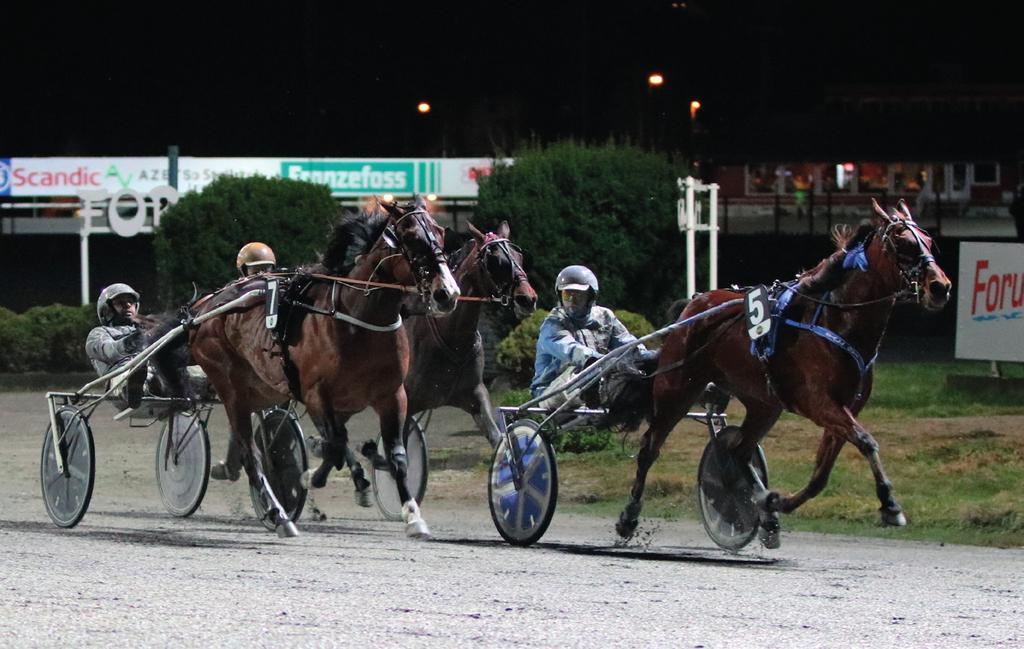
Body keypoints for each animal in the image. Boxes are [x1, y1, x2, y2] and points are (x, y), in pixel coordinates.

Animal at [187, 195, 456, 536]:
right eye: (410, 237)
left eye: (440, 232)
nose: (447, 293)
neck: (357, 319)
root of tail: (204, 309)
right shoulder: (315, 394)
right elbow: (335, 445)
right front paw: (309, 476)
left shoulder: (392, 395)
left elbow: (396, 456)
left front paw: (412, 515)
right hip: (230, 387)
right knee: (252, 453)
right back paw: (279, 514)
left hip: (264, 388)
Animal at [614, 198, 950, 544]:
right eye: (902, 242)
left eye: (928, 240)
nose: (940, 286)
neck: (837, 320)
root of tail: (695, 304)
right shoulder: (818, 403)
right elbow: (867, 441)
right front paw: (890, 504)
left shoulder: (846, 408)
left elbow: (821, 475)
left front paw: (777, 501)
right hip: (677, 388)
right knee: (649, 447)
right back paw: (629, 516)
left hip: (764, 403)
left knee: (738, 450)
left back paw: (762, 506)